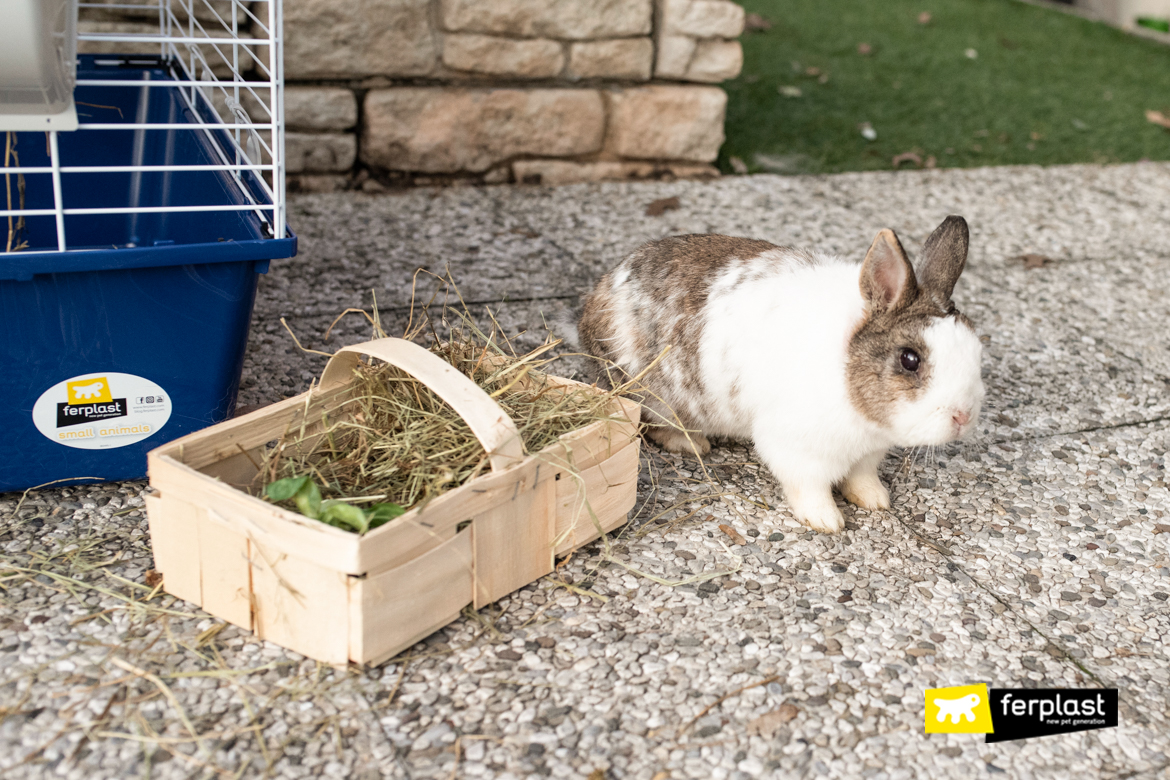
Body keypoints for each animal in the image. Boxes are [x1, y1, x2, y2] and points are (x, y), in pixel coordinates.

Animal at [580, 214, 982, 533]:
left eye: (975, 345)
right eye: (909, 359)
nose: (964, 418)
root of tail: (595, 299)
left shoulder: (868, 454)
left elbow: (862, 477)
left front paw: (875, 500)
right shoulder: (797, 449)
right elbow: (809, 487)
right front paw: (826, 521)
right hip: (651, 394)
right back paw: (692, 443)